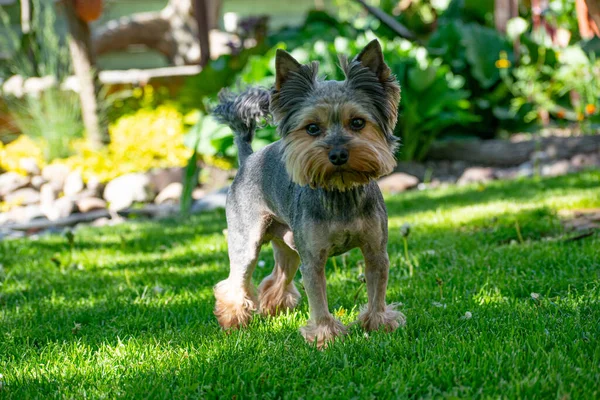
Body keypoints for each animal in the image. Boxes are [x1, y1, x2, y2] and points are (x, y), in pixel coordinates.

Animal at [213, 39, 406, 348]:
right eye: (312, 128)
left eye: (358, 123)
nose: (338, 154)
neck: (340, 190)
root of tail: (247, 159)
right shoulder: (313, 259)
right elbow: (319, 299)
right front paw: (325, 336)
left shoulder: (376, 250)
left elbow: (377, 289)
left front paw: (379, 324)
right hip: (247, 240)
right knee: (235, 280)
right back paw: (234, 319)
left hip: (289, 241)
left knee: (277, 275)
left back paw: (273, 306)